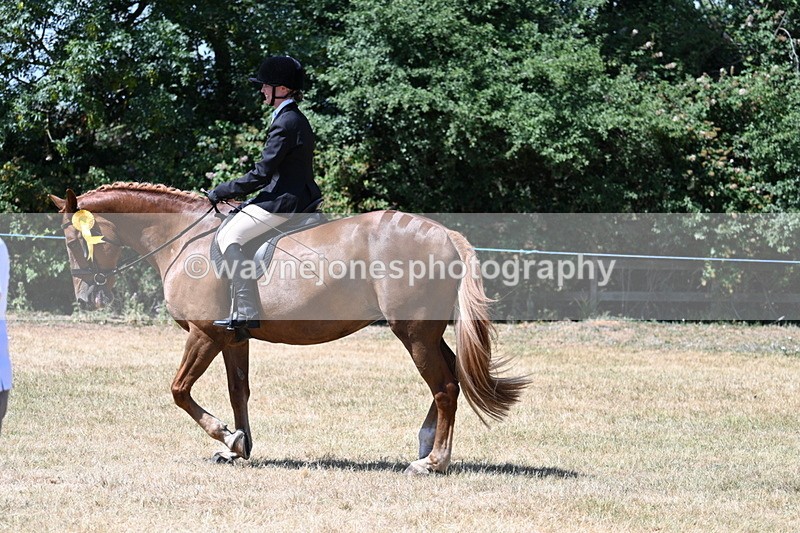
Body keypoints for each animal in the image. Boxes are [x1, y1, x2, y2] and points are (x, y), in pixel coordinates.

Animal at [50, 182, 529, 474]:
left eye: (74, 241)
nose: (86, 297)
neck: (184, 239)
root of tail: (445, 234)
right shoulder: (231, 338)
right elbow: (238, 391)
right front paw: (238, 446)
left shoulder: (204, 334)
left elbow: (179, 390)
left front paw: (225, 435)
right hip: (425, 333)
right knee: (453, 380)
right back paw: (425, 446)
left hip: (413, 333)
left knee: (445, 387)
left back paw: (432, 462)